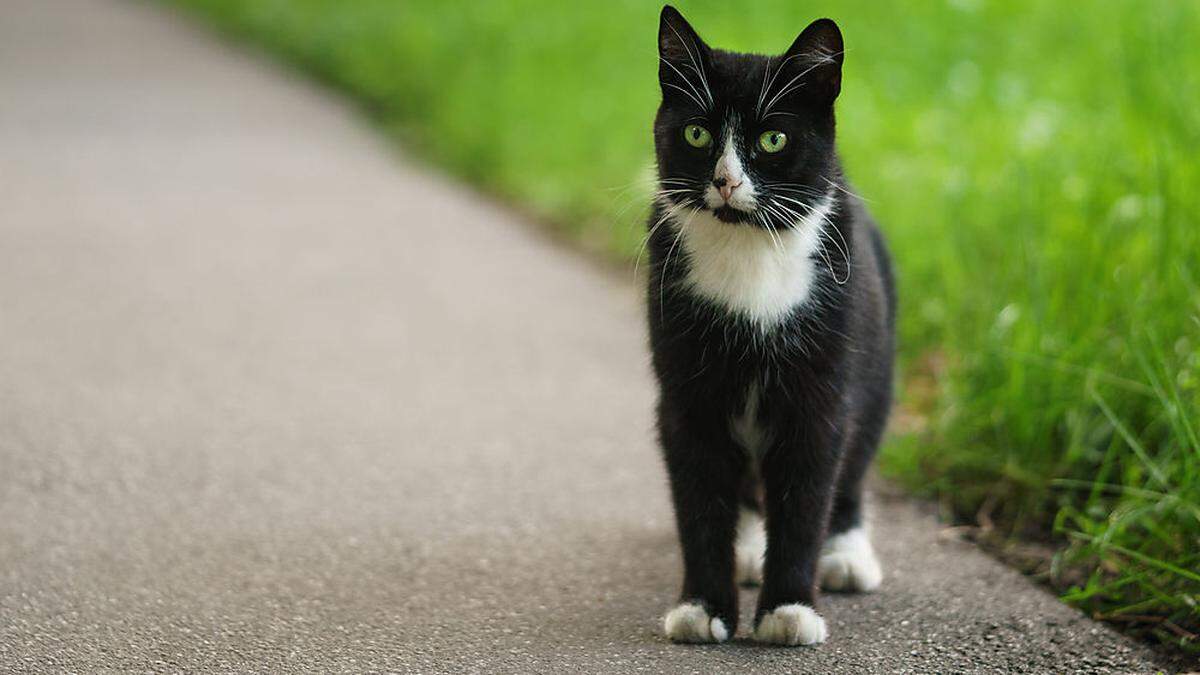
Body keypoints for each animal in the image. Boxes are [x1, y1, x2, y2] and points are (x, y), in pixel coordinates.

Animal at [648, 6, 892, 648]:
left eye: (773, 139)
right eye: (697, 134)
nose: (727, 181)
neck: (749, 248)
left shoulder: (821, 389)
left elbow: (808, 495)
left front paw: (789, 610)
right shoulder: (687, 390)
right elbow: (700, 497)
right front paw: (702, 607)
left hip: (879, 360)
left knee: (854, 462)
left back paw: (847, 553)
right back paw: (749, 548)